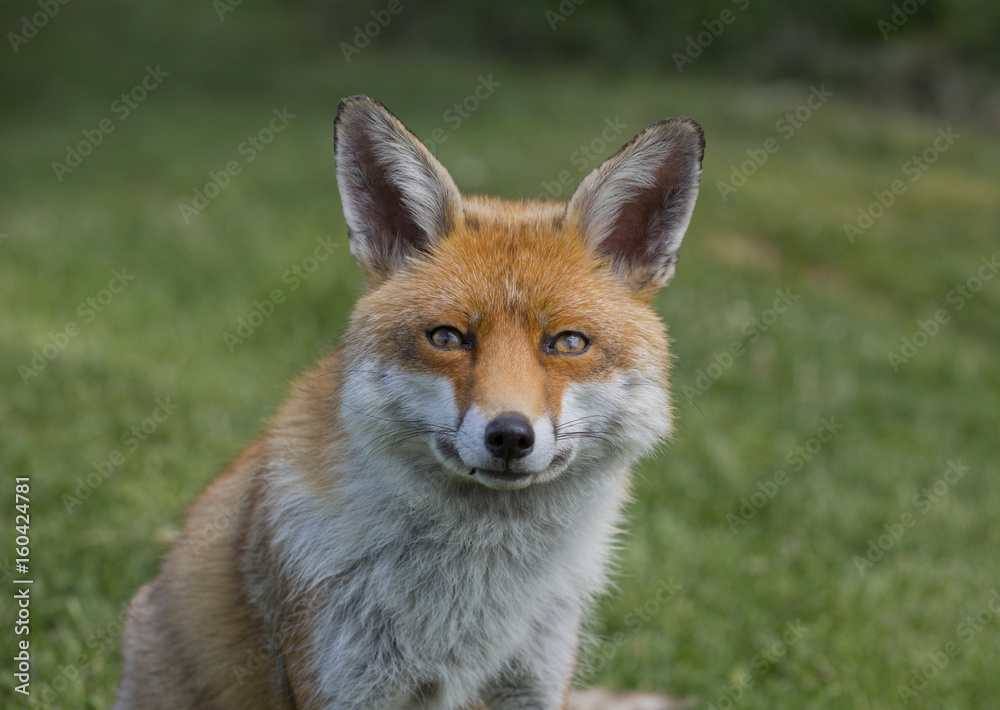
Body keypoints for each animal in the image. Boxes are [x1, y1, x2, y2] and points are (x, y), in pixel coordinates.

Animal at [114, 95, 704, 710]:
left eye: (568, 343)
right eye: (447, 338)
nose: (510, 436)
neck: (478, 590)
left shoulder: (533, 683)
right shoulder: (347, 683)